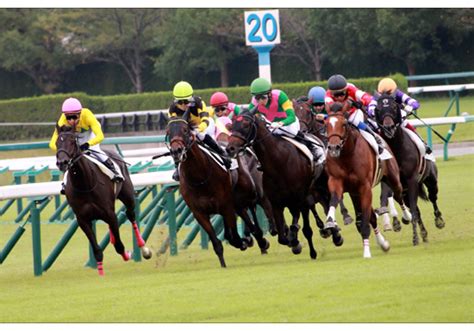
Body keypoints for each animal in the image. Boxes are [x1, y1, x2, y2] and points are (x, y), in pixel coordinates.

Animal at [55, 124, 152, 274]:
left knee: (131, 215)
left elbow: (119, 246)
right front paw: (100, 272)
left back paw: (143, 247)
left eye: (72, 141)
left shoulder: (110, 214)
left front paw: (128, 254)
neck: (85, 183)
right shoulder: (83, 219)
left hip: (128, 196)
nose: (62, 162)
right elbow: (97, 250)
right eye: (56, 143)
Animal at [166, 113, 248, 268]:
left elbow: (234, 235)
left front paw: (244, 242)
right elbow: (216, 242)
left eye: (185, 130)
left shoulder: (226, 206)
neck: (200, 178)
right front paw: (223, 265)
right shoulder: (199, 213)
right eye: (168, 132)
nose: (176, 151)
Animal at [226, 110, 340, 260]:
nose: (230, 148)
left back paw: (335, 234)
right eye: (232, 125)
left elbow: (301, 227)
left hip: (320, 187)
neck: (278, 163)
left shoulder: (299, 198)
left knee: (326, 205)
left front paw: (300, 242)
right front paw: (294, 242)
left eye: (246, 124)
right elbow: (282, 238)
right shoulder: (276, 202)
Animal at [324, 104, 410, 260]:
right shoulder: (336, 181)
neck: (346, 156)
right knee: (372, 217)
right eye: (326, 124)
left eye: (344, 124)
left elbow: (365, 222)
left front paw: (366, 252)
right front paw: (329, 221)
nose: (333, 148)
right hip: (355, 193)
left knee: (398, 195)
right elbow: (334, 199)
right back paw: (383, 243)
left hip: (392, 178)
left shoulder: (365, 187)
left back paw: (408, 216)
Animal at [374, 94, 444, 245]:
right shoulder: (390, 181)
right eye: (378, 109)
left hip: (431, 180)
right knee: (415, 209)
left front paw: (415, 236)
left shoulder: (412, 180)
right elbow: (389, 197)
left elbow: (413, 208)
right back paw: (423, 233)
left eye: (395, 107)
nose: (388, 127)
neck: (397, 149)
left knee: (433, 197)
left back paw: (439, 220)